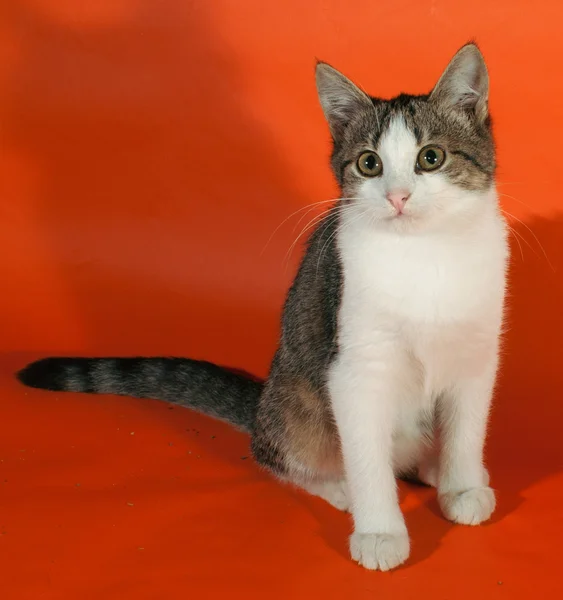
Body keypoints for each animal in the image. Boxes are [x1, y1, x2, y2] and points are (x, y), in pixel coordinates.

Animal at [18, 43, 512, 572]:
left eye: (431, 157)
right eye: (369, 164)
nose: (398, 197)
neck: (425, 255)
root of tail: (260, 406)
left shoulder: (477, 352)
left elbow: (466, 426)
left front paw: (462, 486)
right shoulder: (354, 367)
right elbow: (365, 452)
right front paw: (379, 529)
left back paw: (434, 467)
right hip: (296, 404)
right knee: (280, 453)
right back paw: (339, 487)